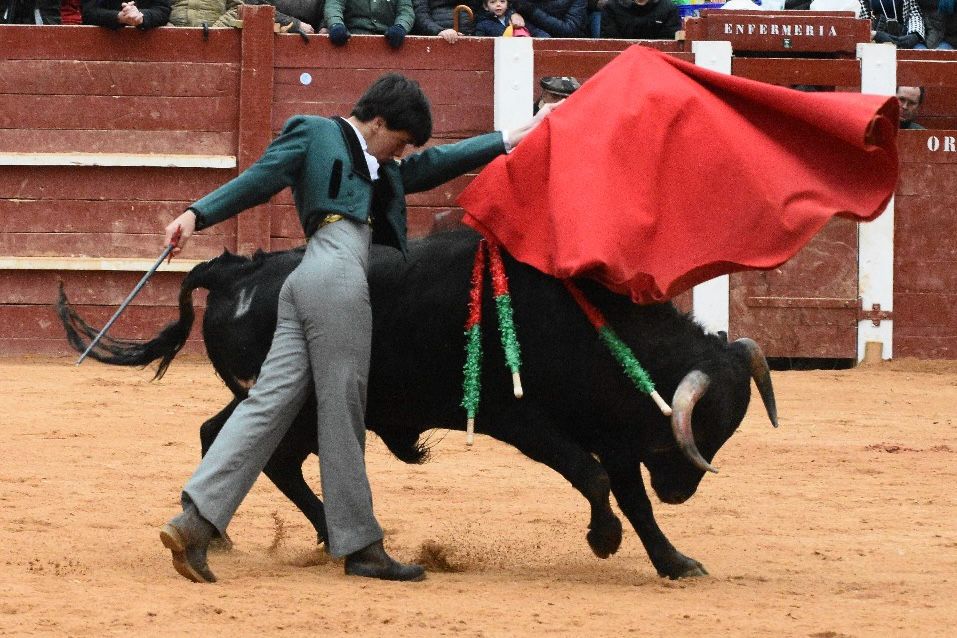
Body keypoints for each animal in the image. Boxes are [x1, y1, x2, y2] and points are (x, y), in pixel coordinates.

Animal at [56, 230, 776, 580]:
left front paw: (673, 562)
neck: (591, 324)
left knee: (237, 442)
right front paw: (603, 541)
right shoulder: (522, 421)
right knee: (254, 449)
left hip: (283, 404)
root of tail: (238, 271)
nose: (683, 489)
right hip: (292, 402)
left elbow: (629, 495)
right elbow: (592, 478)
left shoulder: (613, 429)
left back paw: (268, 535)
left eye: (722, 427)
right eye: (703, 424)